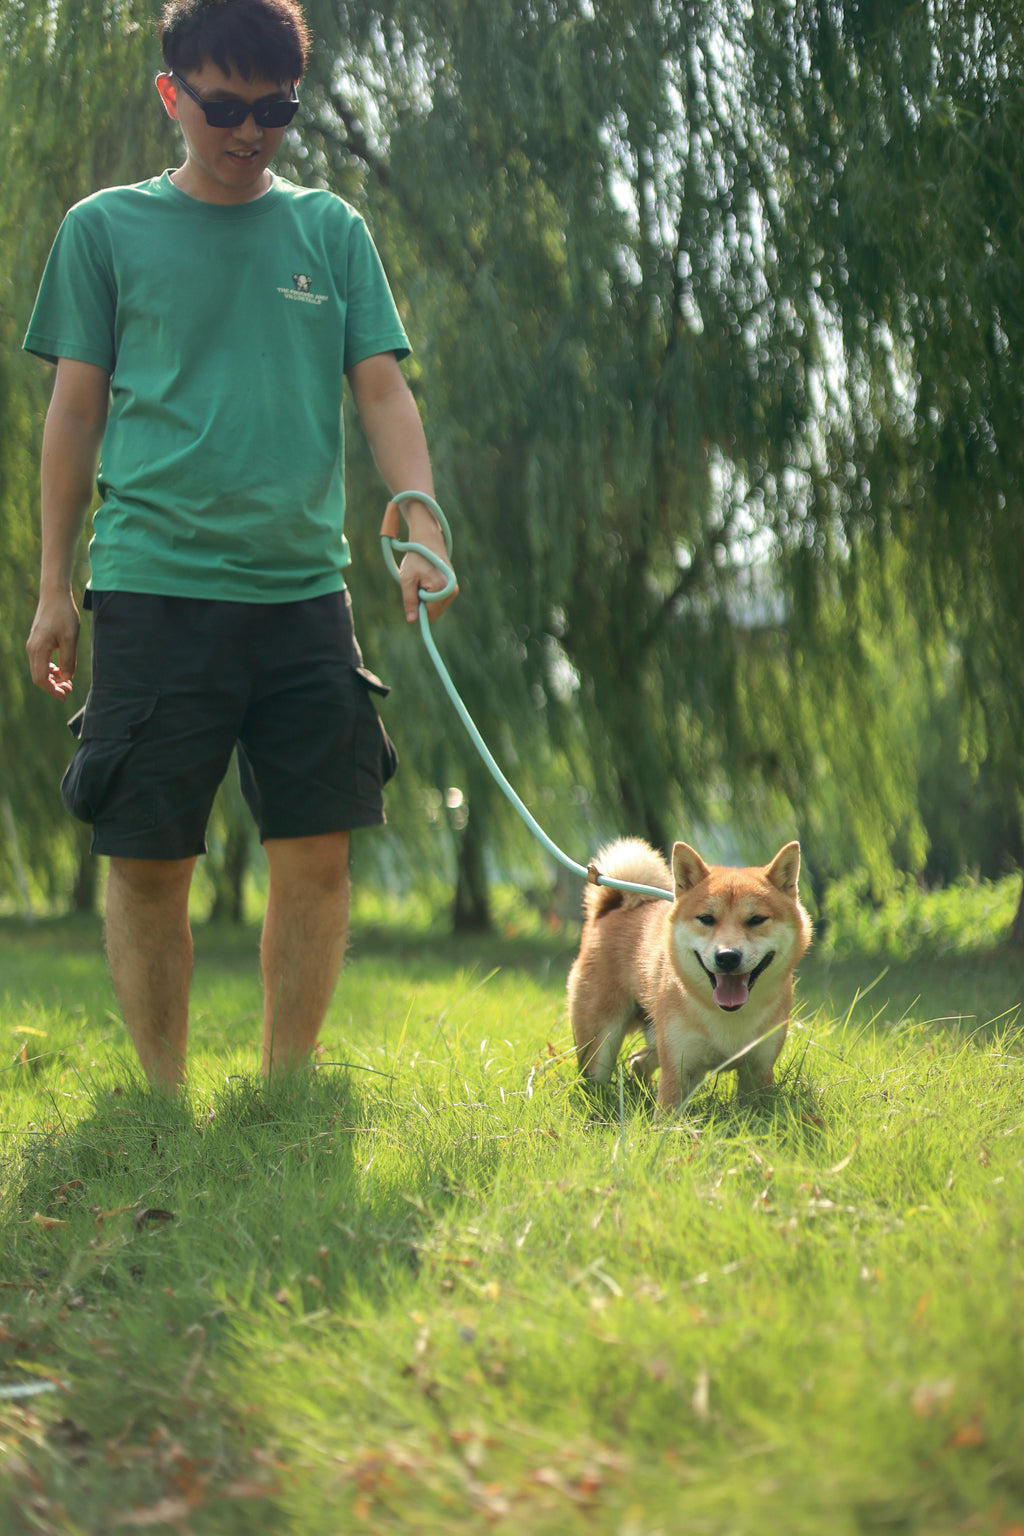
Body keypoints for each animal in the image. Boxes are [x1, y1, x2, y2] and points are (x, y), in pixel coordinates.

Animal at [564, 841, 810, 1118]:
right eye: (706, 919)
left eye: (756, 919)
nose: (727, 957)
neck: (729, 1016)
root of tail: (609, 912)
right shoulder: (678, 1069)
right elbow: (667, 1120)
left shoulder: (757, 1071)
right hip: (601, 1043)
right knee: (598, 1074)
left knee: (637, 1060)